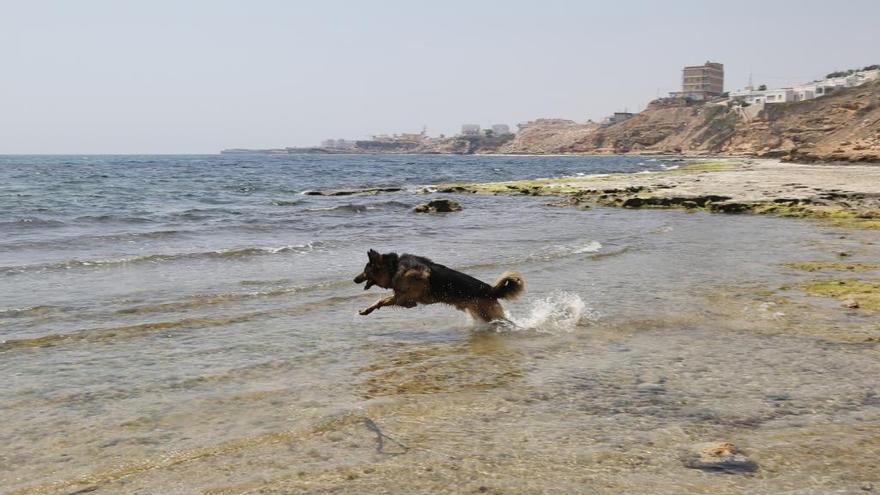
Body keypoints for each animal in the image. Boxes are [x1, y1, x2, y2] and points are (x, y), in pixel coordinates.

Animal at [354, 250, 524, 324]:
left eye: (365, 271)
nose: (354, 279)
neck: (394, 267)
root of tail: (490, 289)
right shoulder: (402, 298)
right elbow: (379, 301)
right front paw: (367, 310)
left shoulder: (405, 299)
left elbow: (382, 300)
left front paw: (367, 309)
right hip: (479, 312)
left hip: (487, 313)